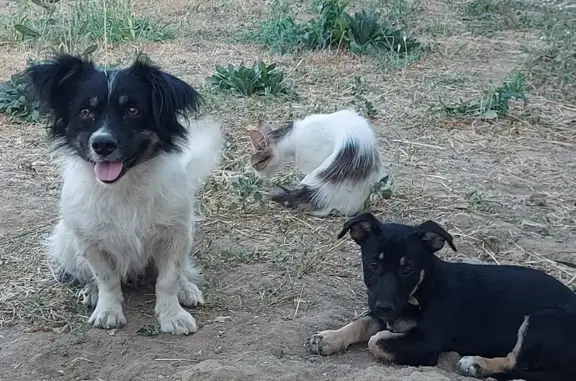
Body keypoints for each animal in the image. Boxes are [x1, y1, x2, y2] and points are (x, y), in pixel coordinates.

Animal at [28, 52, 223, 332]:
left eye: (133, 110)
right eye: (85, 111)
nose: (102, 144)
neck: (124, 186)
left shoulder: (175, 235)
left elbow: (168, 279)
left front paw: (172, 316)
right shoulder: (90, 242)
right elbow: (106, 278)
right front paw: (108, 310)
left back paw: (186, 288)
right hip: (66, 242)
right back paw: (91, 291)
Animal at [308, 211, 576, 380]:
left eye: (408, 269)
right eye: (373, 264)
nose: (384, 307)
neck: (421, 289)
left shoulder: (427, 344)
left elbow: (377, 340)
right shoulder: (380, 310)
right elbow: (361, 322)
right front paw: (328, 337)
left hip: (542, 318)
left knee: (518, 362)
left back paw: (476, 364)